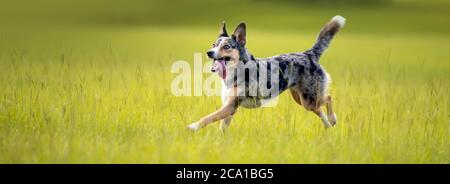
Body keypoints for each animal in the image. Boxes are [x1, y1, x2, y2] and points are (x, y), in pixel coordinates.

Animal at [186, 15, 344, 132]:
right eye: (214, 45)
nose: (209, 52)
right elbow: (221, 127)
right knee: (320, 109)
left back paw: (333, 118)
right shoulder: (229, 108)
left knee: (328, 98)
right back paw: (328, 125)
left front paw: (193, 127)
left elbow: (207, 118)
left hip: (308, 98)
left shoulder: (230, 106)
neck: (236, 71)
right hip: (302, 100)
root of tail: (308, 54)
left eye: (226, 46)